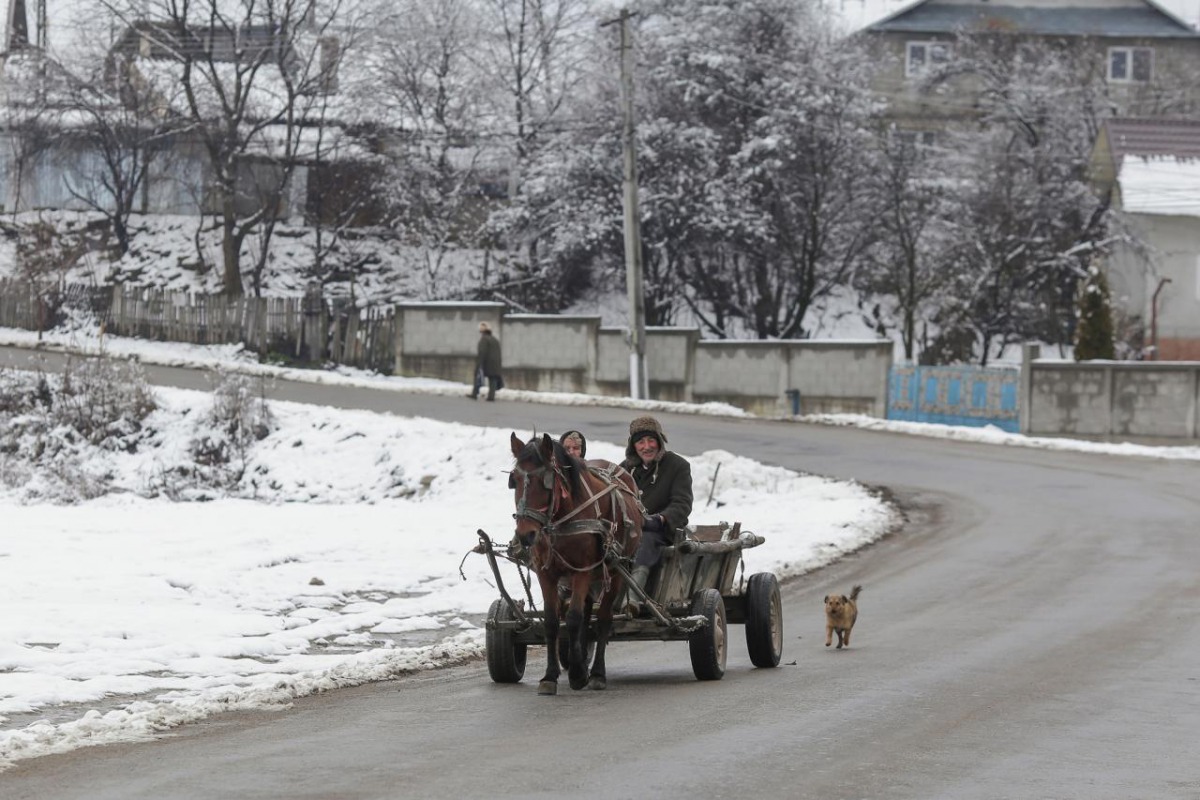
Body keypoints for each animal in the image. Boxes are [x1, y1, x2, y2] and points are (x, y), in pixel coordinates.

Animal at [508, 431, 643, 695]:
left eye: (546, 481)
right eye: (515, 479)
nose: (525, 534)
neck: (561, 519)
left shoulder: (583, 570)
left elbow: (572, 619)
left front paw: (580, 675)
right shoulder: (546, 573)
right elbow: (553, 621)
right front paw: (550, 676)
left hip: (614, 570)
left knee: (602, 619)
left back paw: (597, 673)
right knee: (587, 614)